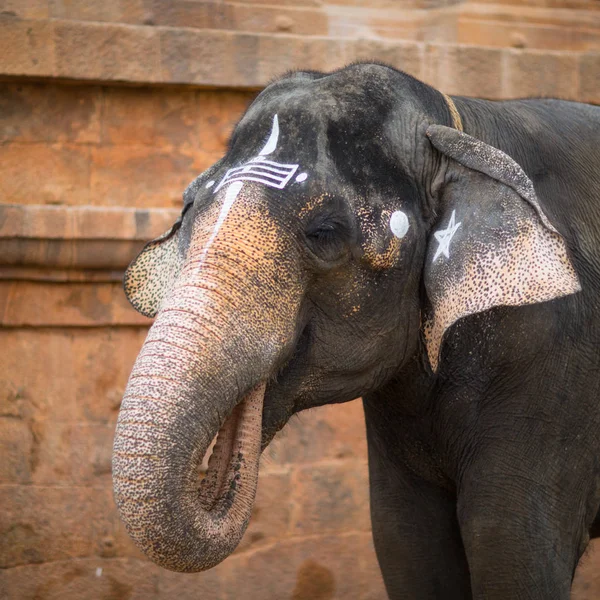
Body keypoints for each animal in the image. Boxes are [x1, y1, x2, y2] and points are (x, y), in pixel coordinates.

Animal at [112, 63, 600, 596]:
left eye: (323, 233)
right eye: (187, 213)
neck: (459, 128)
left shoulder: (552, 362)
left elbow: (510, 546)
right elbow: (405, 539)